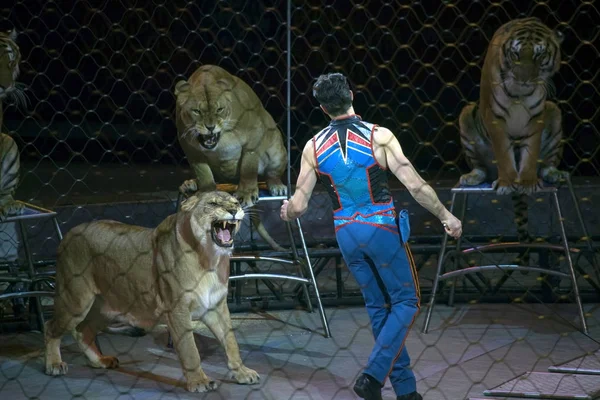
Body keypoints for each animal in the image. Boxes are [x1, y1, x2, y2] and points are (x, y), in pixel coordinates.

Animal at [458, 18, 568, 268]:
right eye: (516, 54)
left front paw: (526, 181)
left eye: (539, 55)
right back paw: (472, 177)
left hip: (555, 112)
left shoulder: (536, 116)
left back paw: (554, 174)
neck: (521, 93)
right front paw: (508, 183)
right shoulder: (495, 118)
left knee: (547, 164)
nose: (524, 79)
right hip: (466, 115)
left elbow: (531, 153)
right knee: (482, 168)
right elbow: (503, 154)